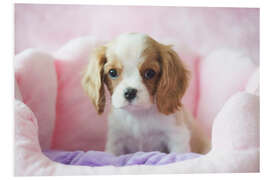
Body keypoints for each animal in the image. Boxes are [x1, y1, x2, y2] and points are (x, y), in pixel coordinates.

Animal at [81, 32, 210, 156]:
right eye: (112, 72)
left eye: (149, 73)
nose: (130, 92)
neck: (139, 115)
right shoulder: (115, 140)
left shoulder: (177, 136)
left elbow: (178, 154)